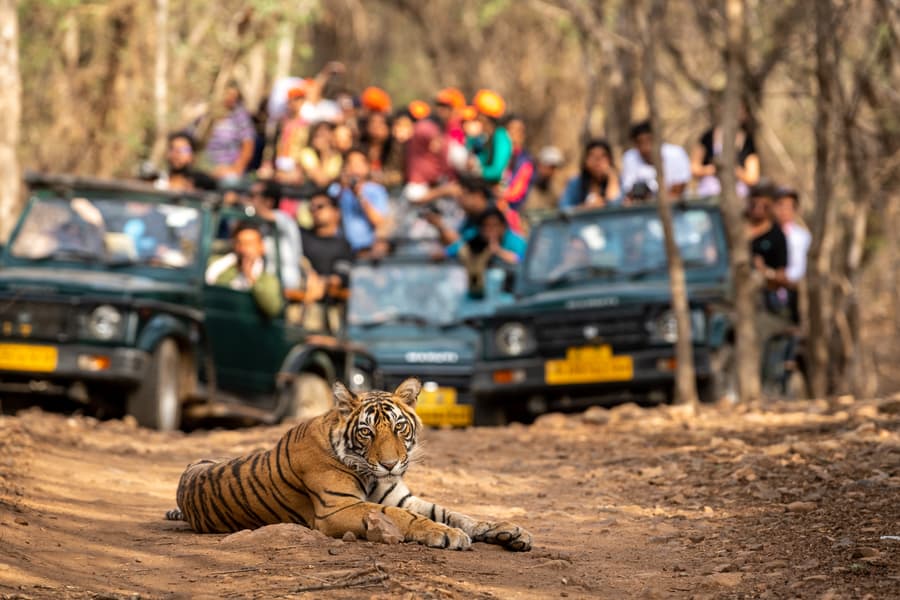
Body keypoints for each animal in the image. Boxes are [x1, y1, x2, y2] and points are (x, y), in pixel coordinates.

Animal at [165, 378, 532, 551]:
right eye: (367, 432)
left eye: (399, 427)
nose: (391, 464)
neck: (371, 475)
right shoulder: (338, 509)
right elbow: (403, 517)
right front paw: (446, 535)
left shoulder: (401, 496)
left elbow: (456, 512)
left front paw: (510, 530)